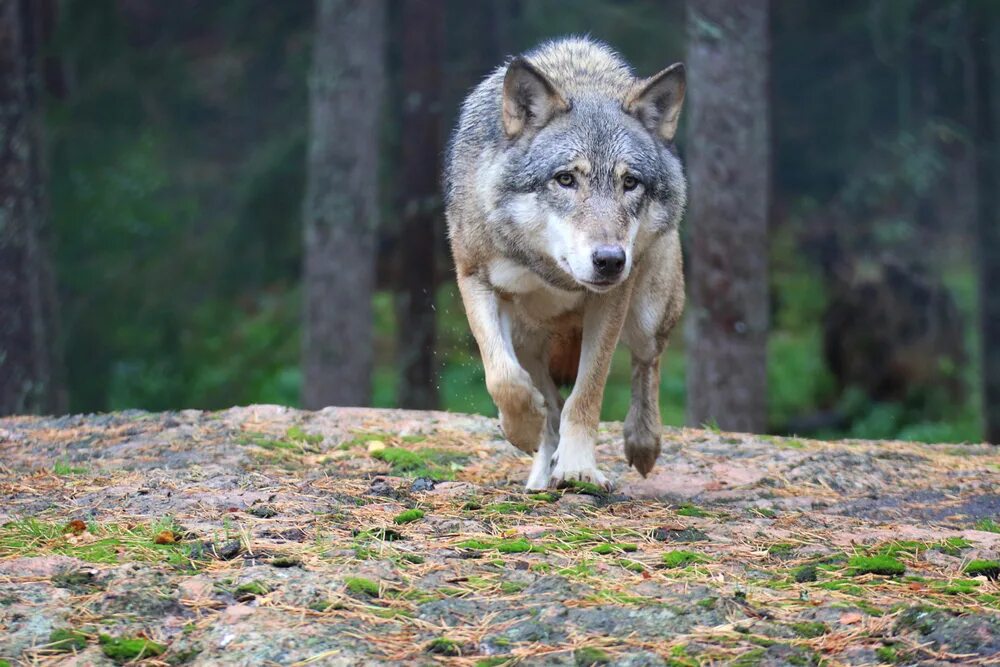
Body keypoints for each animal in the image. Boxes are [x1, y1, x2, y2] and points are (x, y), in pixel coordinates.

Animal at [446, 37, 688, 490]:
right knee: (547, 402)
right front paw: (523, 430)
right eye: (565, 179)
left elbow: (586, 395)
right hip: (527, 338)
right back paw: (541, 473)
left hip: (646, 315)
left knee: (648, 361)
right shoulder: (475, 280)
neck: (551, 274)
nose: (610, 260)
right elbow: (503, 379)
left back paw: (642, 441)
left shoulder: (611, 302)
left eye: (630, 183)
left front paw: (578, 468)